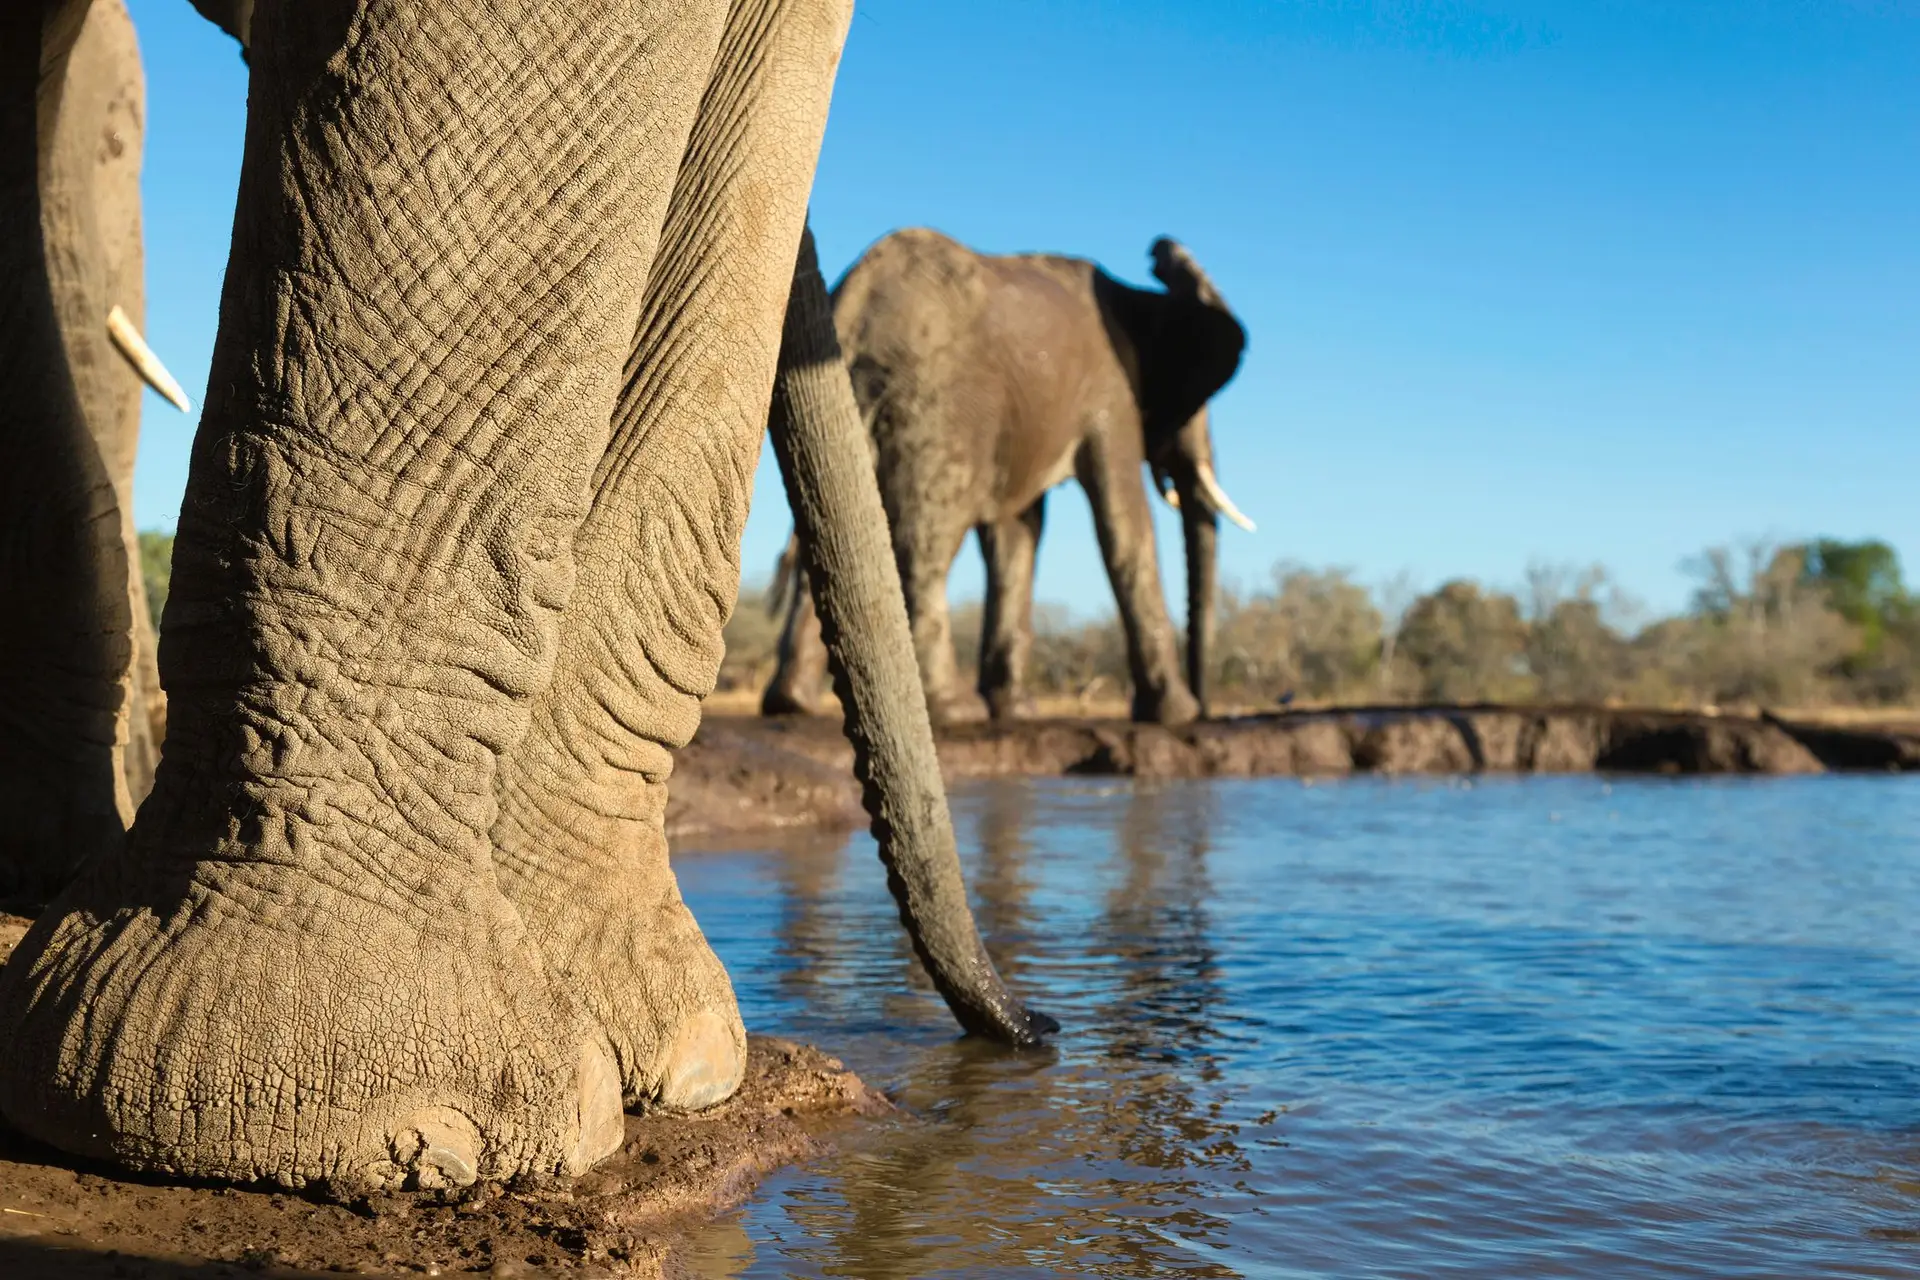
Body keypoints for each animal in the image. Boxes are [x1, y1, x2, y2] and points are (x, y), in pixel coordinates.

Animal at [759, 227, 1256, 727]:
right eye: (1193, 409)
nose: (1210, 709)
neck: (1140, 298)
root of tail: (851, 299)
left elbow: (1018, 534)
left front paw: (1016, 710)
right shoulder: (1112, 395)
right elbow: (1124, 523)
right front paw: (1176, 713)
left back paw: (793, 704)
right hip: (940, 411)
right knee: (927, 542)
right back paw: (956, 709)